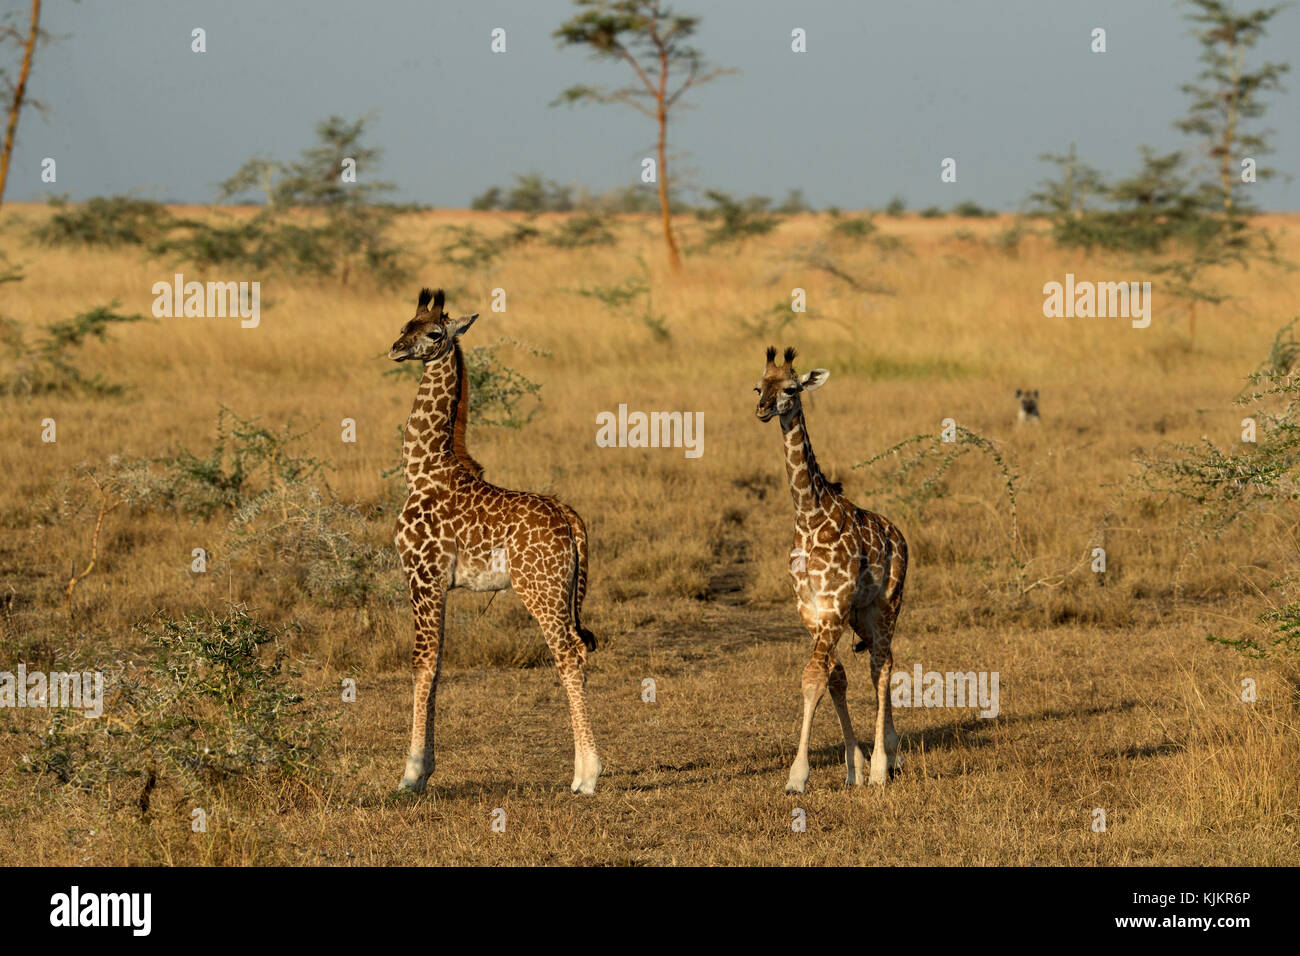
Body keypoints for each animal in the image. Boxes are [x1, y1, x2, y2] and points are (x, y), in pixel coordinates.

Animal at [382, 287, 600, 796]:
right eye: (405, 325)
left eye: (435, 333)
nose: (396, 349)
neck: (421, 469)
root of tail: (571, 519)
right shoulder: (439, 585)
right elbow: (439, 663)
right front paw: (426, 768)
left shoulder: (422, 576)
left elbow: (422, 663)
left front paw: (410, 773)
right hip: (562, 591)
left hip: (540, 589)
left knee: (569, 653)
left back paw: (586, 776)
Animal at [759, 348, 909, 790]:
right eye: (759, 386)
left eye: (791, 389)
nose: (762, 409)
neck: (810, 517)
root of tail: (901, 537)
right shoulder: (811, 609)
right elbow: (833, 676)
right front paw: (852, 764)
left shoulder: (834, 604)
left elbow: (813, 677)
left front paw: (798, 776)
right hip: (860, 615)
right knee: (878, 661)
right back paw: (888, 756)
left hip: (885, 606)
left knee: (881, 666)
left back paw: (882, 767)